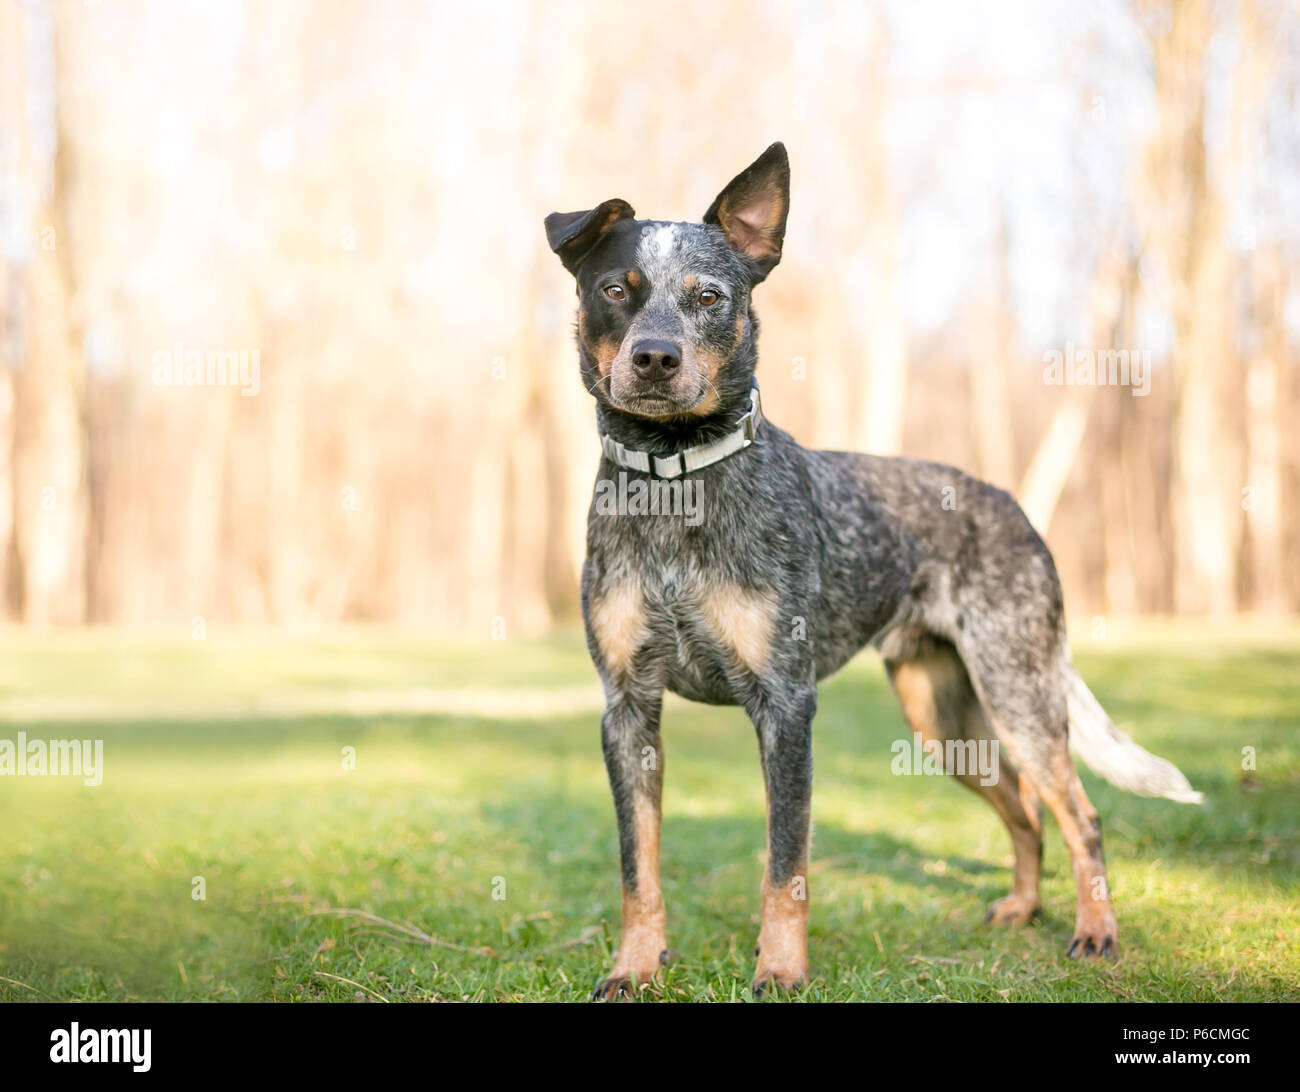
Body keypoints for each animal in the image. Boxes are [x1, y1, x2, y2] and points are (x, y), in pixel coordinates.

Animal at [543, 141, 1201, 1003]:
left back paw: (1096, 931)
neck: (674, 479)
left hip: (1018, 694)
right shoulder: (627, 709)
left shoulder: (786, 705)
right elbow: (638, 868)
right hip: (941, 718)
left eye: (709, 296)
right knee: (1024, 810)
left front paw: (781, 971)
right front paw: (634, 967)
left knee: (1078, 814)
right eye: (615, 290)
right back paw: (1023, 909)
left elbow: (785, 866)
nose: (656, 357)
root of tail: (1013, 506)